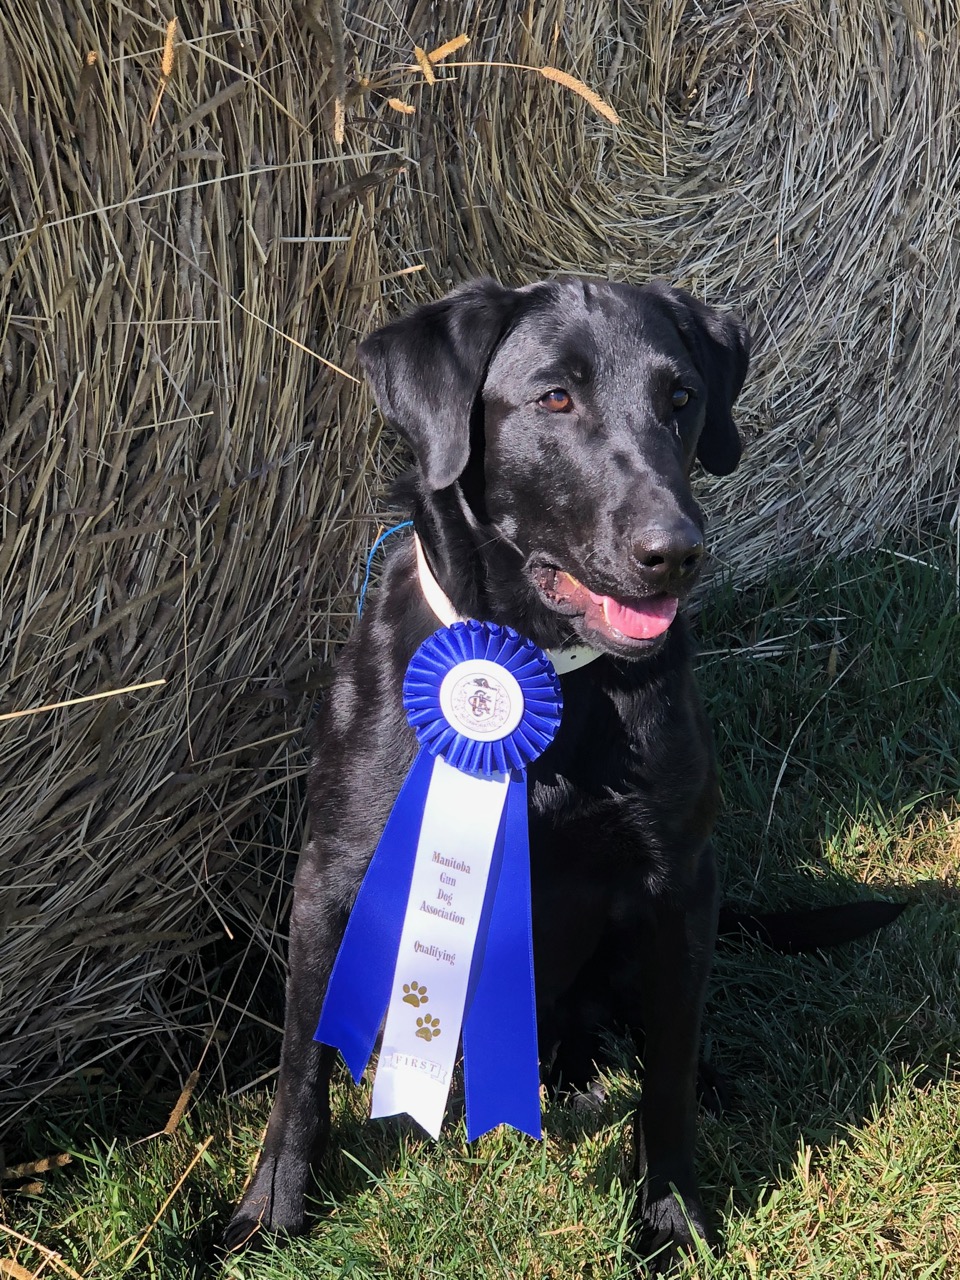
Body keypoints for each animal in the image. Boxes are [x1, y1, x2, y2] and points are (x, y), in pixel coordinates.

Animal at [227, 275, 901, 1264]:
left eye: (681, 397)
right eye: (554, 398)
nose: (675, 551)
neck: (540, 665)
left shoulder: (679, 880)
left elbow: (664, 1076)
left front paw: (672, 1216)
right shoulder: (333, 874)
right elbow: (299, 1066)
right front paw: (270, 1211)